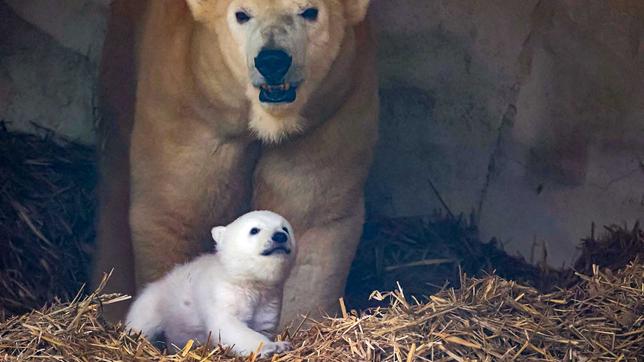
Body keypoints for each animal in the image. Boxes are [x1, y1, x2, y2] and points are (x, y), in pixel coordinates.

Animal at [93, 0, 380, 326]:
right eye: (242, 14)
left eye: (309, 11)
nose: (272, 60)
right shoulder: (189, 106)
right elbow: (176, 211)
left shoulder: (327, 117)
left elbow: (309, 218)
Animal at [125, 211, 294, 354]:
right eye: (254, 230)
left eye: (285, 228)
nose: (280, 236)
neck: (247, 281)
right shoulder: (223, 293)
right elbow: (228, 325)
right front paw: (275, 346)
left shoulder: (269, 300)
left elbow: (263, 325)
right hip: (154, 304)